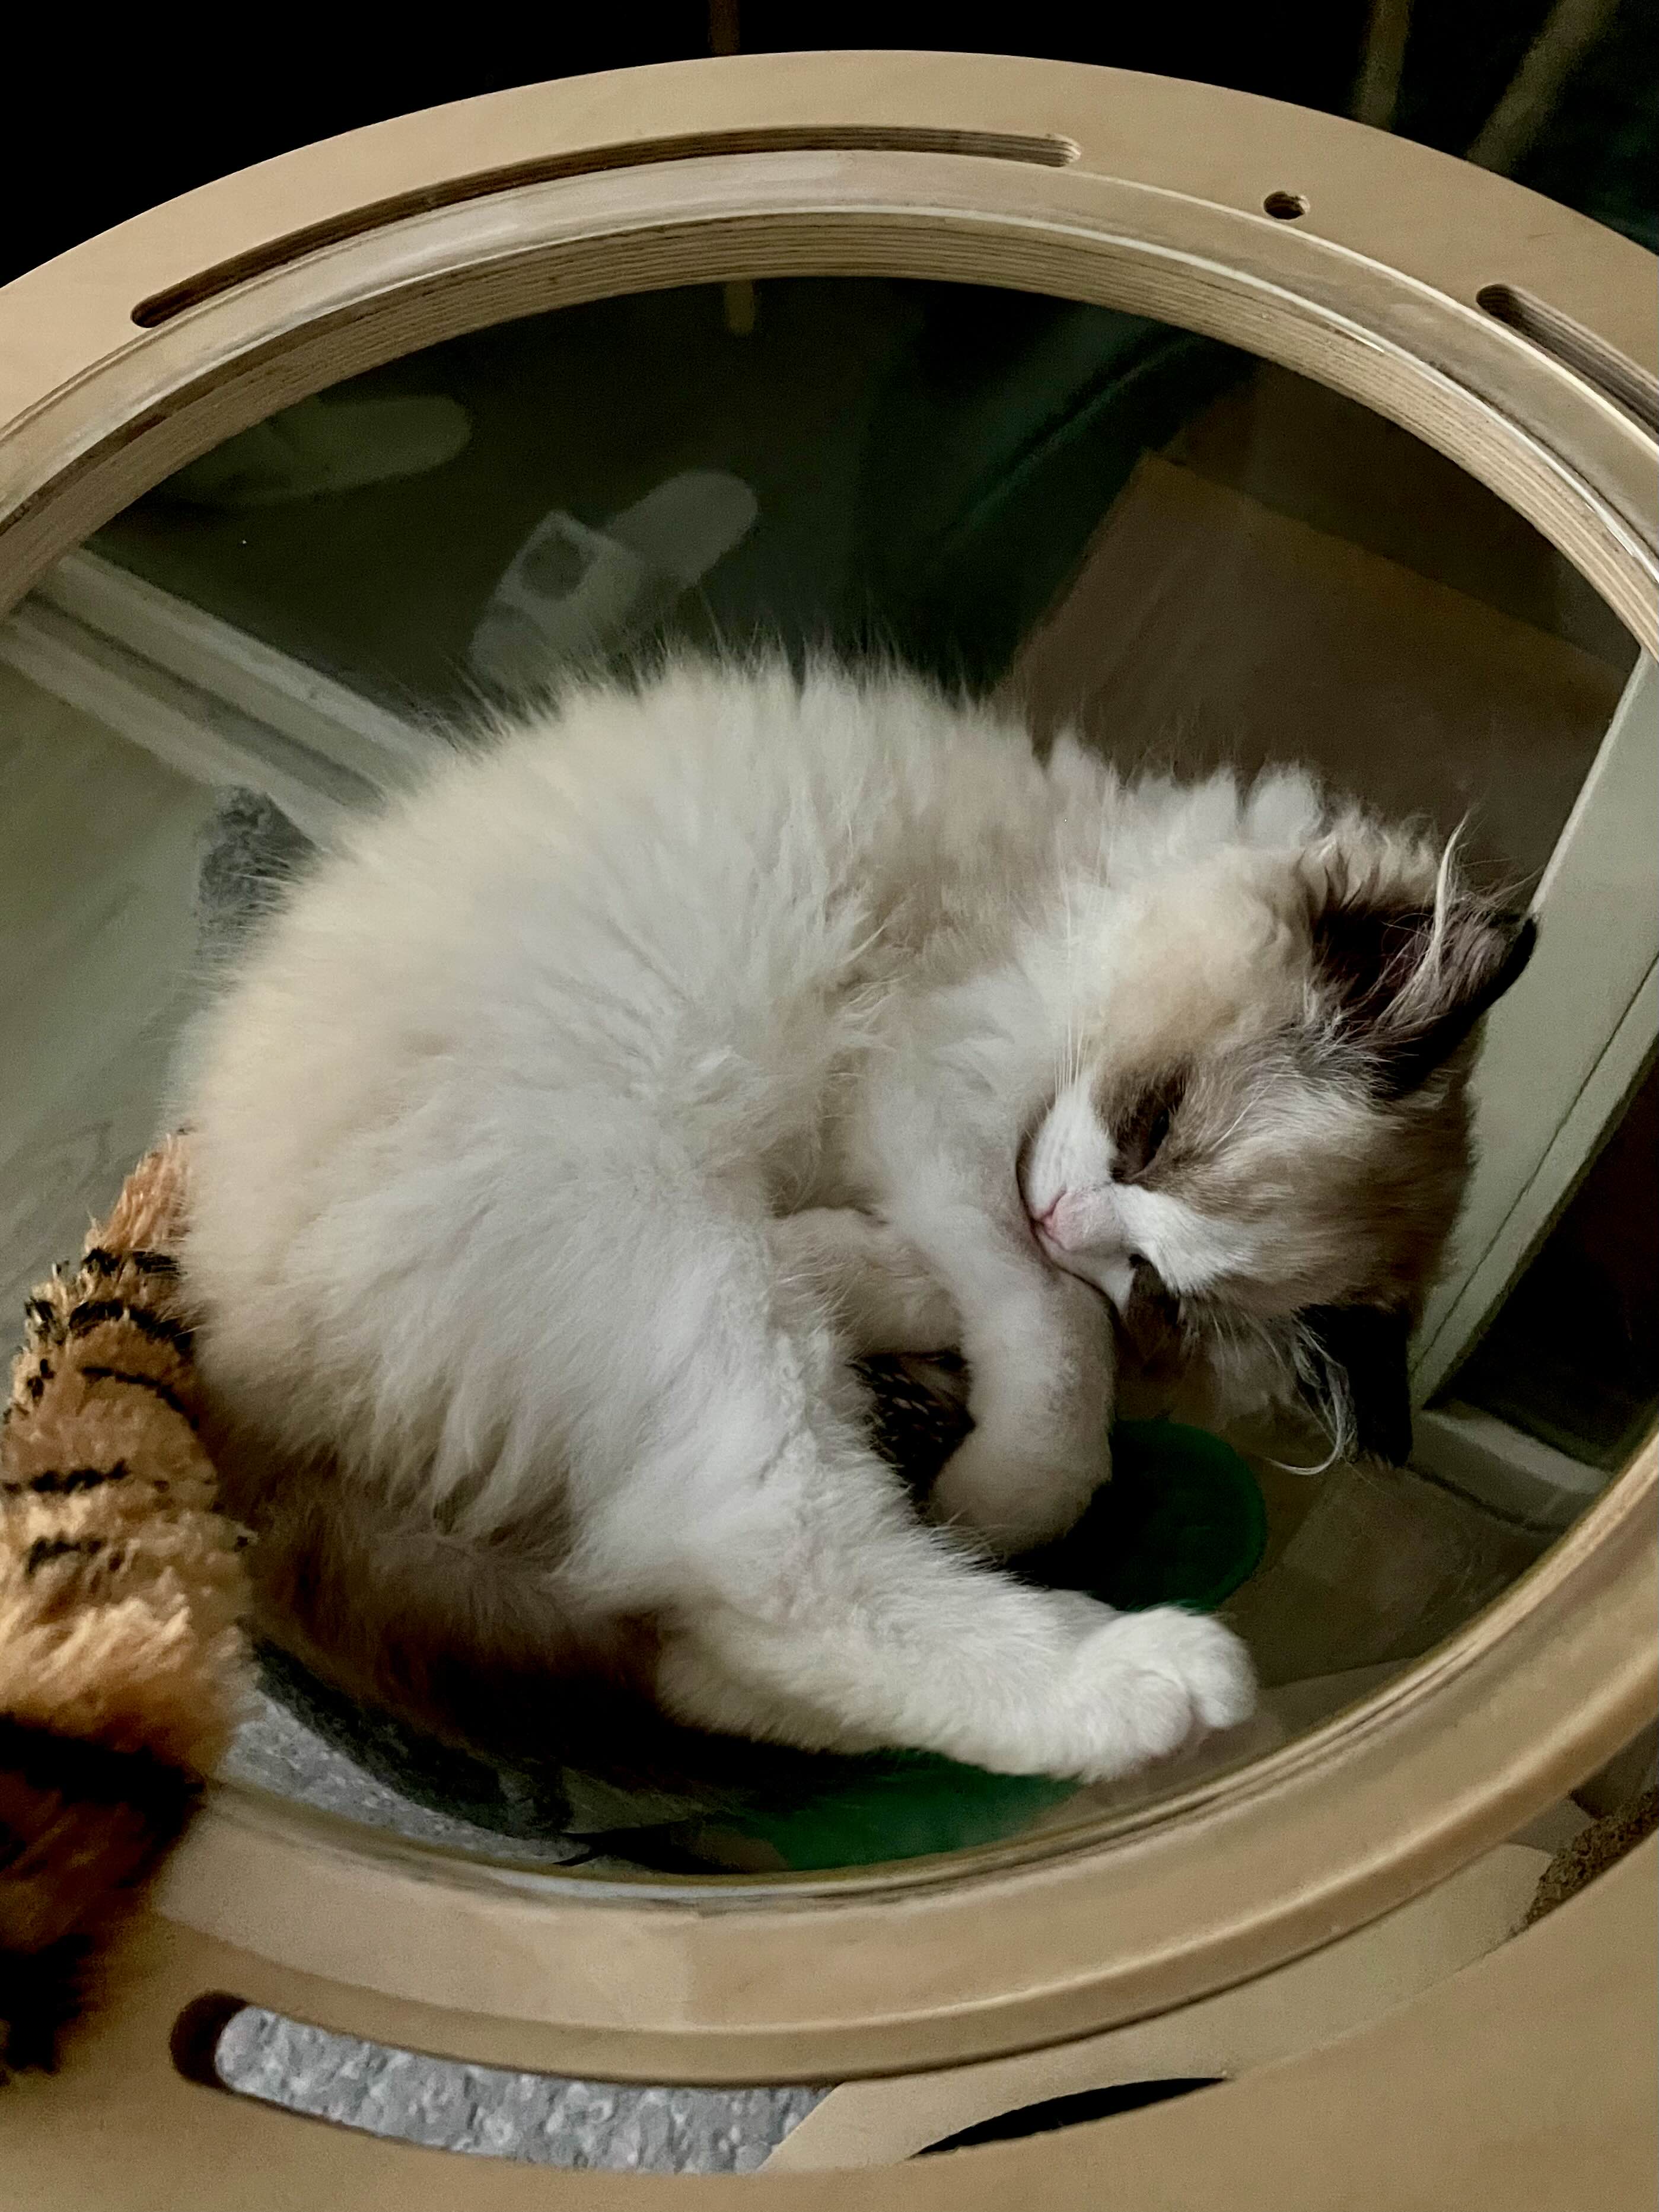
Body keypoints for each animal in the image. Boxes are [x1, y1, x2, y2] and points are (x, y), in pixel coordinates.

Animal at [179, 658, 1534, 1786]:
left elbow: (998, 1296)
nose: (1070, 1218)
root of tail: (250, 1394)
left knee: (693, 1653)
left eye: (1160, 1285)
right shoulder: (934, 1098)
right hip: (666, 1252)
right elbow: (1047, 1332)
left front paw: (873, 1288)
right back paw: (1141, 1679)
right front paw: (1009, 1486)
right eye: (1150, 1126)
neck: (1080, 879)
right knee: (779, 1576)